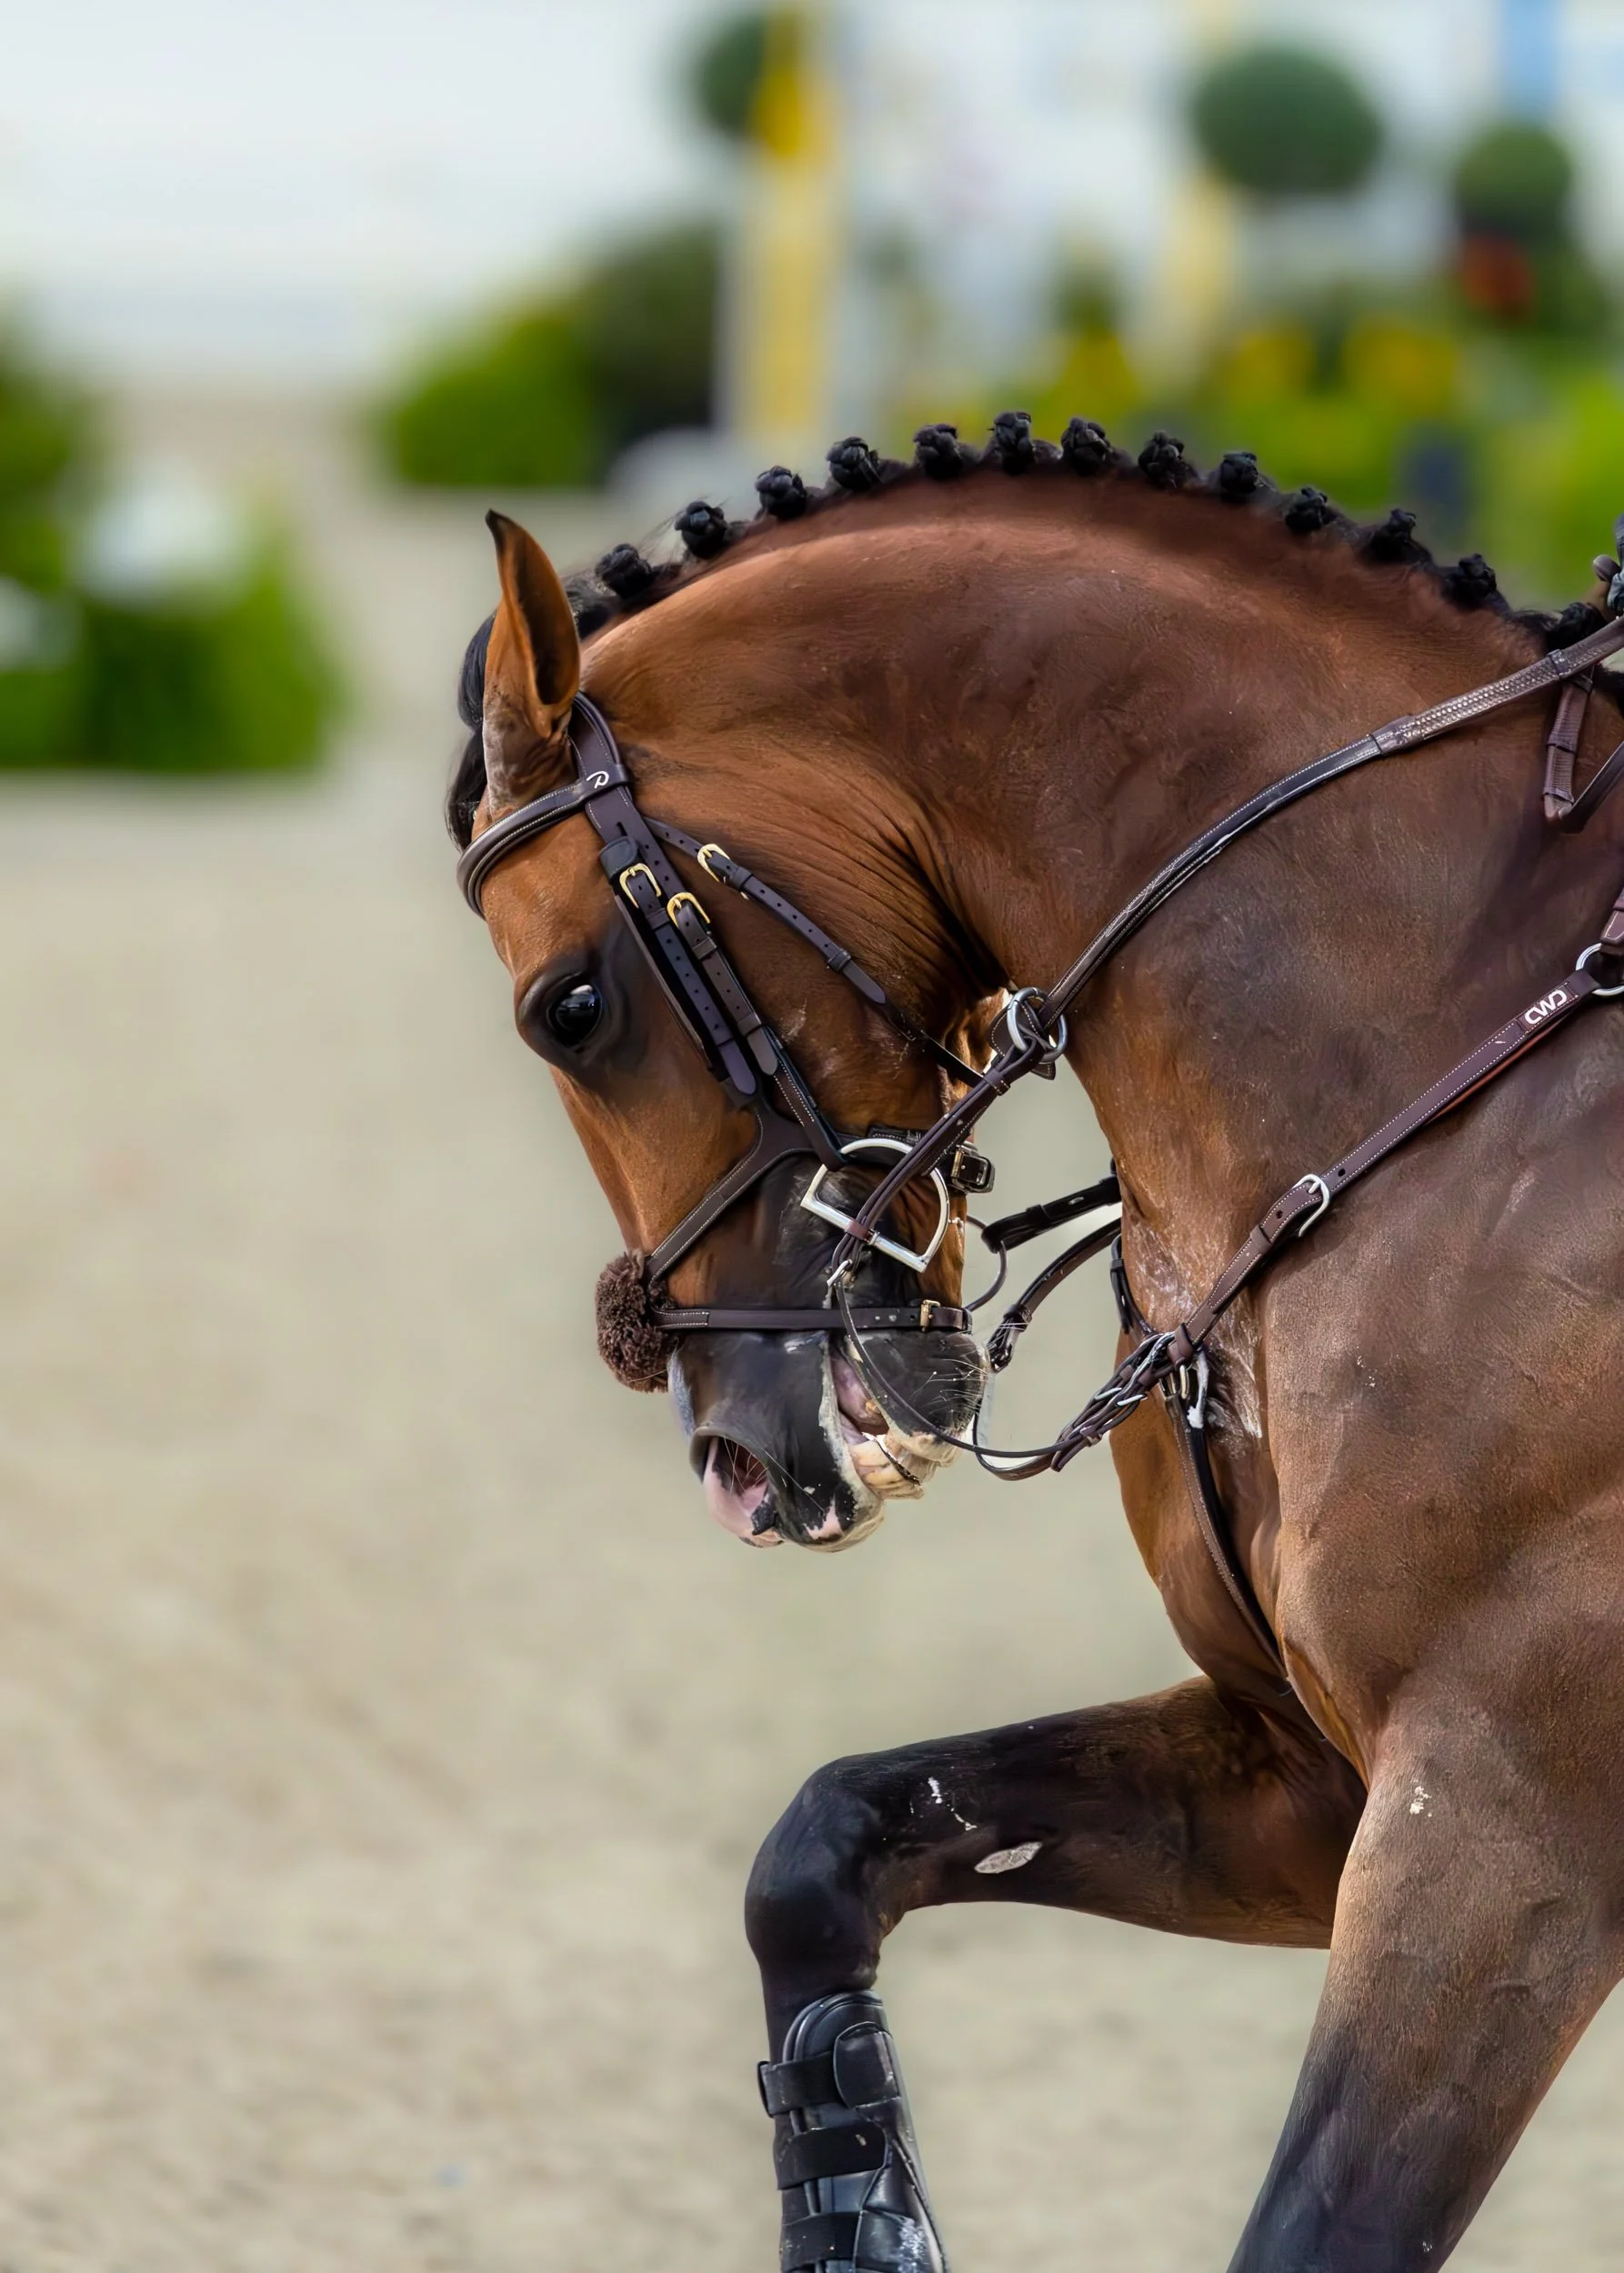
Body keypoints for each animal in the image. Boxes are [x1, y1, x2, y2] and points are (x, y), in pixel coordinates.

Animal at [446, 415, 1624, 2271]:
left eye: (567, 1007)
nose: (739, 1458)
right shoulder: (1311, 1781)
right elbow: (822, 1843)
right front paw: (862, 2212)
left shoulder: (1505, 1835)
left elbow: (1317, 2226)